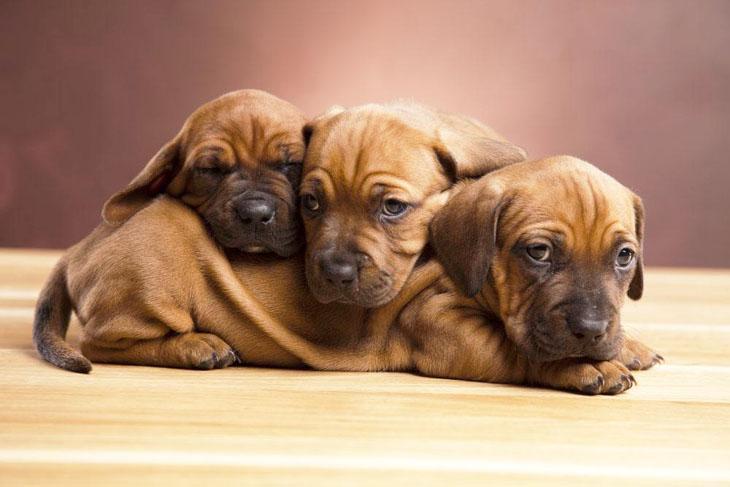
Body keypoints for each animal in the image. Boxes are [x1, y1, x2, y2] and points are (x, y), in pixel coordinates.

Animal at [32, 90, 306, 374]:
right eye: (210, 170)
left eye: (291, 164)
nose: (254, 213)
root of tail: (74, 252)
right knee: (97, 344)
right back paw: (195, 345)